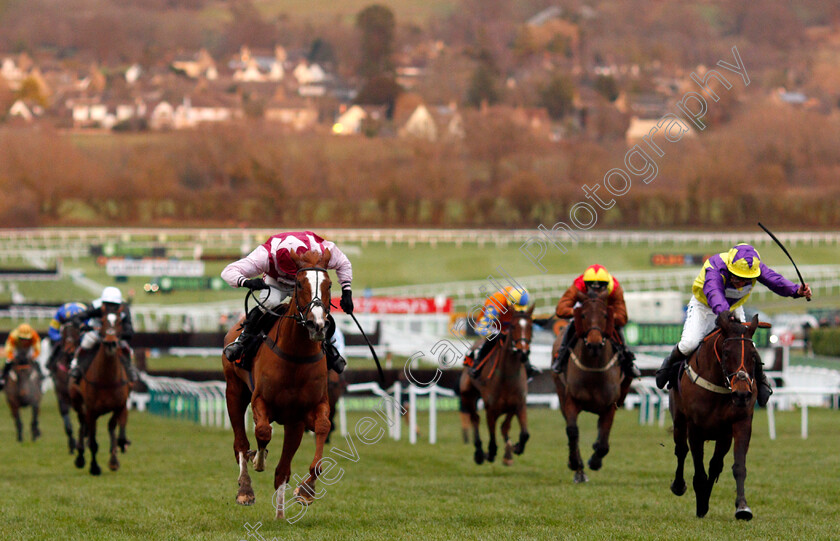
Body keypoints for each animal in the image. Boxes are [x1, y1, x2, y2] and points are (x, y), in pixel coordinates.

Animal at [70, 306, 131, 474]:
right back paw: (80, 457)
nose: (110, 343)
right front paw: (94, 467)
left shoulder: (120, 405)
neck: (106, 380)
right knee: (82, 424)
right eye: (102, 321)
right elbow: (93, 442)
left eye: (119, 321)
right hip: (78, 403)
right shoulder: (91, 410)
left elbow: (116, 430)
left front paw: (115, 459)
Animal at [225, 249, 334, 520]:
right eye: (299, 284)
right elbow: (262, 431)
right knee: (241, 443)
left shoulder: (308, 410)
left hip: (293, 423)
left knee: (282, 470)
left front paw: (306, 491)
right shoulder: (260, 400)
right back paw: (245, 488)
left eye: (329, 285)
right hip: (234, 391)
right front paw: (258, 460)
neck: (295, 355)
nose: (317, 324)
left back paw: (280, 515)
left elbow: (323, 429)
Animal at [456, 306, 536, 466]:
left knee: (503, 426)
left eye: (531, 326)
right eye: (513, 326)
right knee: (475, 419)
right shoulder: (491, 409)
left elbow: (523, 433)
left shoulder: (519, 404)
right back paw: (479, 453)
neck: (507, 376)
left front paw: (515, 448)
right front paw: (491, 453)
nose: (523, 352)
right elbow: (492, 438)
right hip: (467, 395)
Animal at [548, 288, 628, 484]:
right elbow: (572, 431)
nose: (594, 343)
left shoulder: (610, 405)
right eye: (583, 315)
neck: (594, 369)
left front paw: (595, 461)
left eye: (605, 315)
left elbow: (604, 442)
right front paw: (575, 464)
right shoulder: (570, 400)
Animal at [672, 312, 764, 520]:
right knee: (681, 450)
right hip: (679, 420)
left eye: (753, 355)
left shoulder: (738, 425)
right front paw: (700, 504)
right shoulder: (695, 428)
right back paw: (678, 486)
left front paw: (742, 507)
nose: (741, 395)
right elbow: (698, 468)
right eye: (727, 352)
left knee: (714, 464)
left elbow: (737, 466)